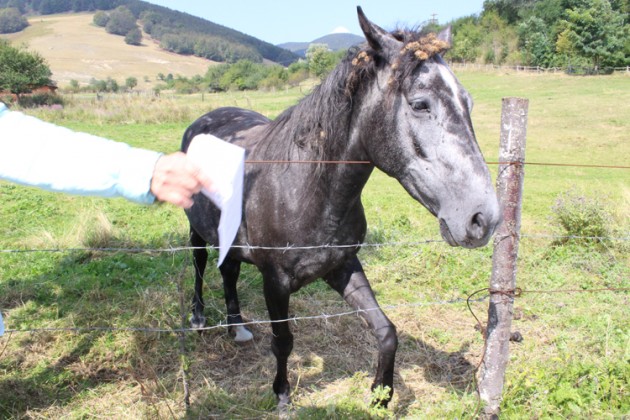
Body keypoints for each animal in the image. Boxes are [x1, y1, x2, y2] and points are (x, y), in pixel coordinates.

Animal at [180, 5, 502, 406]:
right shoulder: (276, 282)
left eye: (467, 103)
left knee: (229, 271)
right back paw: (198, 319)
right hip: (196, 231)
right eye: (419, 104)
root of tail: (203, 121)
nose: (483, 219)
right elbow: (283, 342)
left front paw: (381, 394)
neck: (307, 188)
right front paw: (282, 395)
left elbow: (386, 330)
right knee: (199, 264)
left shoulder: (343, 266)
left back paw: (236, 326)